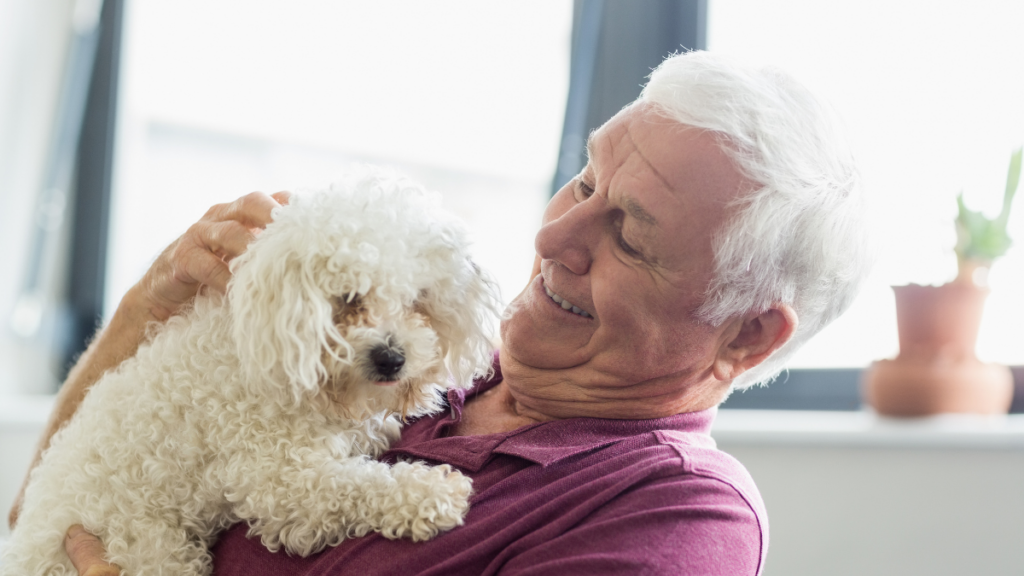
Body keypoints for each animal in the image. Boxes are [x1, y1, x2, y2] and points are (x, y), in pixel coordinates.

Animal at [1, 170, 499, 573]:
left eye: (418, 298)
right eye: (349, 297)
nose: (391, 358)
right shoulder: (282, 482)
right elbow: (358, 484)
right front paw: (428, 493)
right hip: (151, 549)